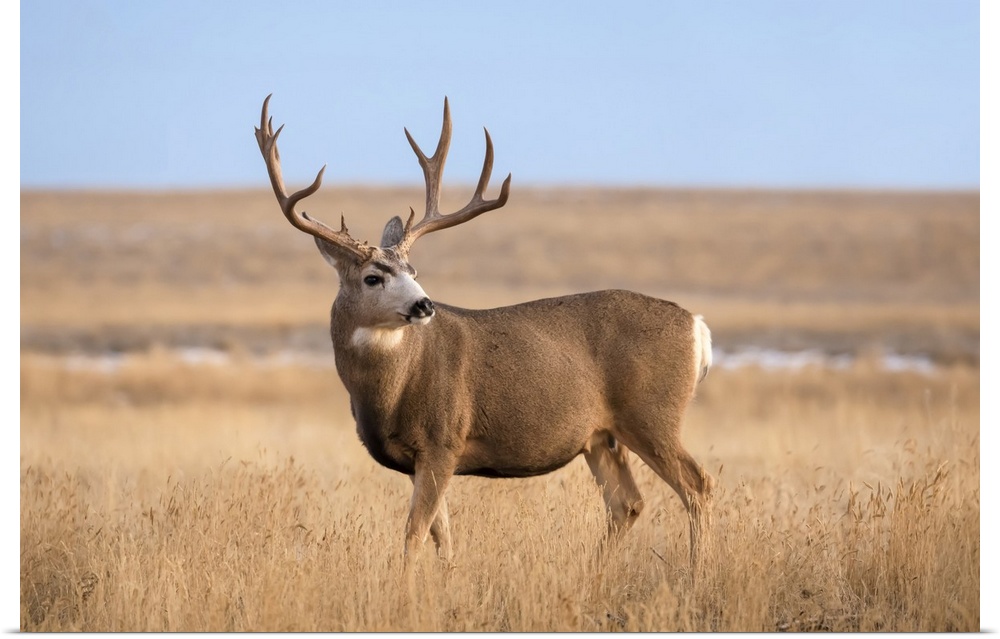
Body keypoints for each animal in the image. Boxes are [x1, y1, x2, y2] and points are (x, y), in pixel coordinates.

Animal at [254, 94, 716, 564]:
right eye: (372, 278)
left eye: (414, 271)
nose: (424, 304)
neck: (389, 389)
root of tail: (696, 326)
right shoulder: (420, 459)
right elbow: (442, 535)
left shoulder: (443, 440)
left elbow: (414, 534)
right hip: (600, 436)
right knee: (627, 503)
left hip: (652, 415)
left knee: (697, 484)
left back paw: (695, 572)